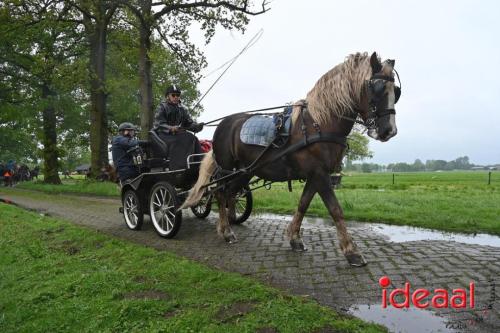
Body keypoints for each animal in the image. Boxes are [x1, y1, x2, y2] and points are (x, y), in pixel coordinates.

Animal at [182, 51, 400, 264]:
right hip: (228, 169)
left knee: (230, 194)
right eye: (377, 88)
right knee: (220, 193)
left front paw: (295, 239)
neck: (318, 123)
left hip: (245, 171)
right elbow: (335, 209)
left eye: (396, 92)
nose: (389, 131)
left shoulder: (316, 175)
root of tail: (223, 125)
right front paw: (351, 251)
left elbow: (303, 204)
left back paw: (228, 225)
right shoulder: (320, 175)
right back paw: (226, 232)